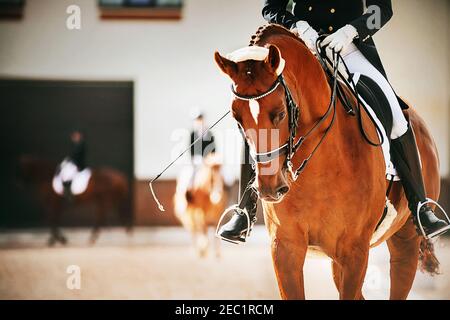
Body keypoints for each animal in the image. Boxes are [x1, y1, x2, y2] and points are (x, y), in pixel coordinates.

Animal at [214, 25, 440, 300]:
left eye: (280, 112)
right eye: (237, 117)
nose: (269, 188)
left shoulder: (355, 251)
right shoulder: (285, 248)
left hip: (405, 240)